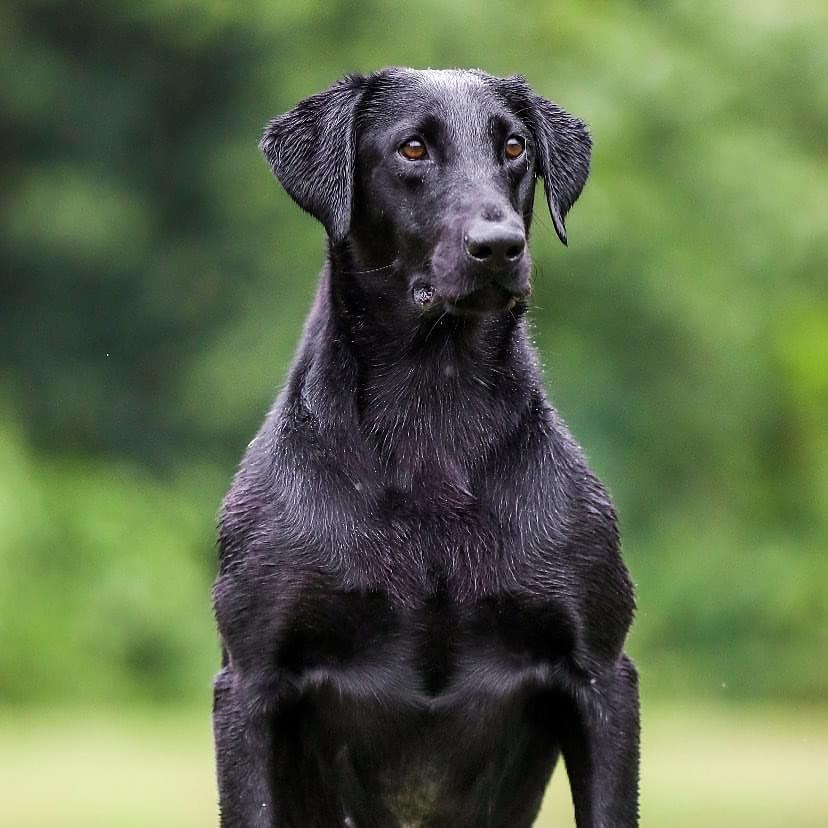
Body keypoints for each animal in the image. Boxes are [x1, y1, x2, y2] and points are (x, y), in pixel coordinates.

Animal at [213, 68, 640, 824]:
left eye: (514, 146)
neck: (433, 414)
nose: (499, 246)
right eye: (412, 148)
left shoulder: (601, 675)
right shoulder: (250, 681)